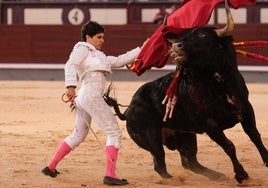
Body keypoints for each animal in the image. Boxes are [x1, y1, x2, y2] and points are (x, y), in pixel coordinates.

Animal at [104, 25, 268, 183]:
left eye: (203, 35)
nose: (176, 46)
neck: (217, 84)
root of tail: (128, 111)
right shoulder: (208, 123)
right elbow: (229, 145)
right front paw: (241, 175)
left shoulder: (246, 108)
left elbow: (254, 135)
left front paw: (266, 161)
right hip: (150, 137)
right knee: (160, 162)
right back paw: (173, 180)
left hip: (186, 136)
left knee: (190, 161)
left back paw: (218, 176)